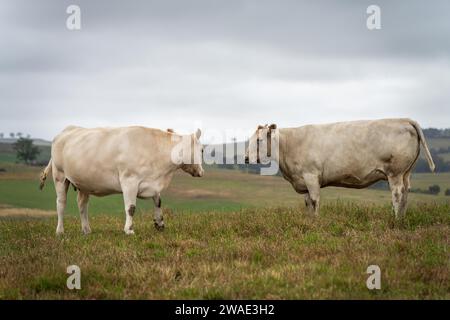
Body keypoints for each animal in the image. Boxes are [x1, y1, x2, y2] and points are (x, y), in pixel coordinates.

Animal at [39, 125, 203, 235]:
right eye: (201, 150)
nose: (201, 172)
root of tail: (67, 129)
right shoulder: (129, 181)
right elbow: (131, 208)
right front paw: (129, 230)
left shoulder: (152, 183)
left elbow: (158, 202)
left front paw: (159, 223)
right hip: (60, 176)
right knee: (61, 203)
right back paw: (60, 231)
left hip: (84, 182)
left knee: (82, 204)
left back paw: (86, 230)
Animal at [246, 119, 436, 219]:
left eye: (259, 140)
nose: (246, 158)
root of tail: (404, 120)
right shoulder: (304, 180)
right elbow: (307, 202)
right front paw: (309, 221)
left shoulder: (311, 176)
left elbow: (314, 201)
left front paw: (316, 222)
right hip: (405, 173)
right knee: (405, 194)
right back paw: (401, 218)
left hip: (395, 172)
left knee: (397, 194)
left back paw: (395, 219)